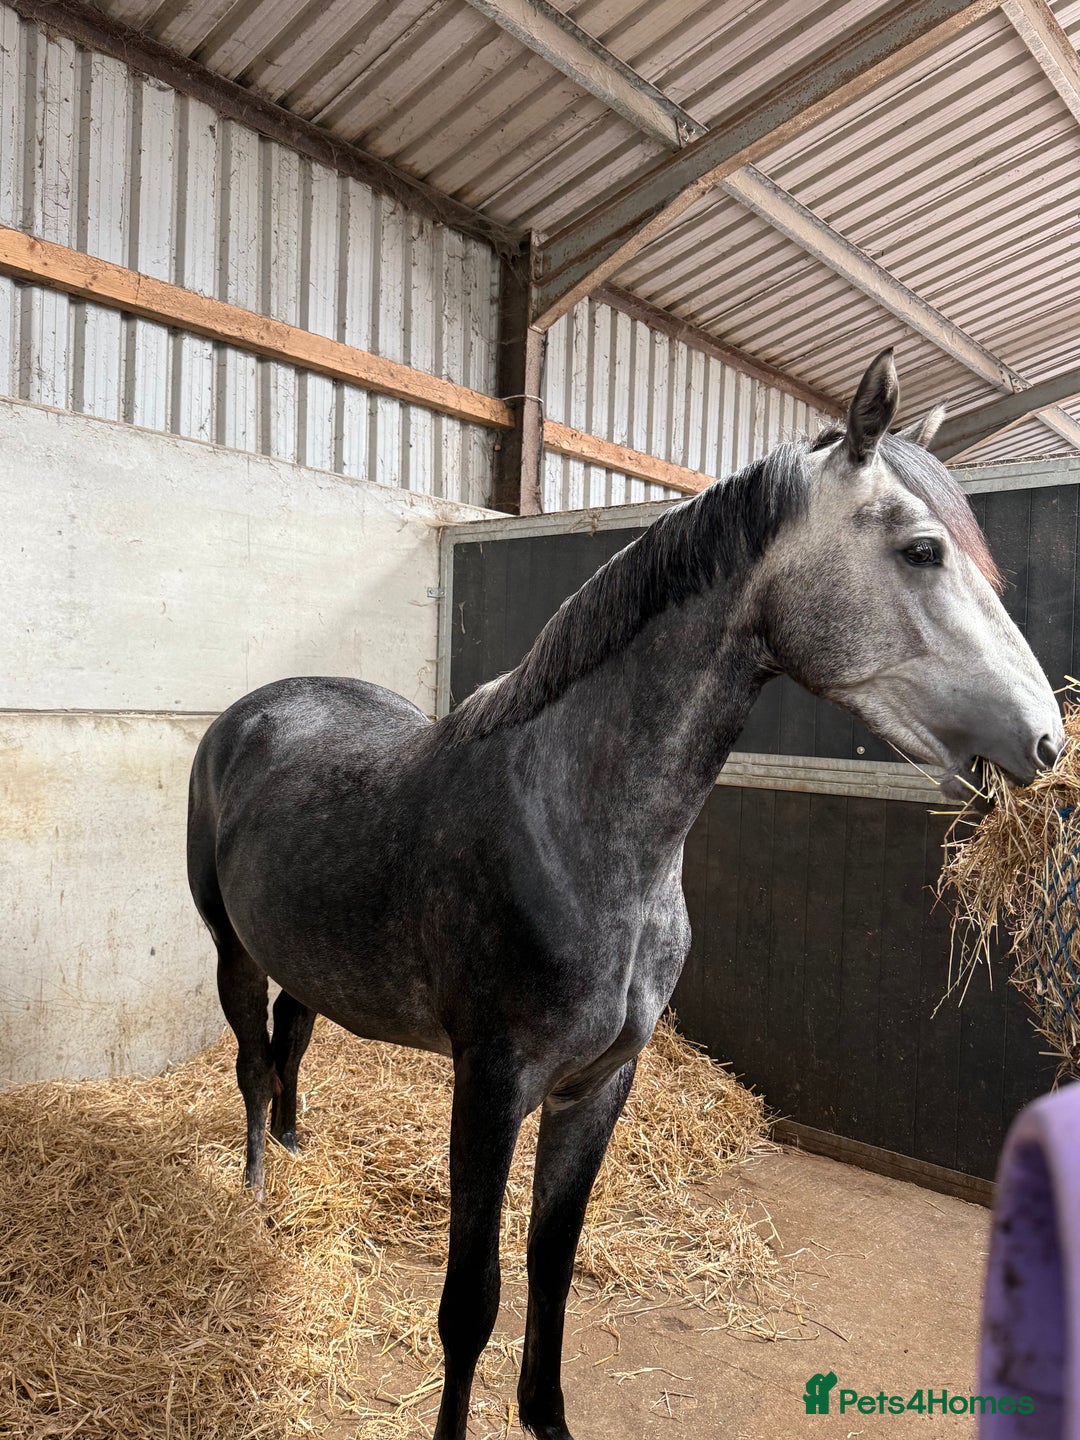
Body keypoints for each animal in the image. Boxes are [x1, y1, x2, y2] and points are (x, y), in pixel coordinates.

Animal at [187, 350, 1062, 1440]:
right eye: (923, 550)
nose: (1046, 740)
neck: (580, 833)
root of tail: (253, 713)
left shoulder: (600, 1085)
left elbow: (551, 1268)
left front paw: (547, 1416)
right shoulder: (492, 1086)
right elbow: (469, 1303)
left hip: (307, 956)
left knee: (293, 1043)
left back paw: (298, 1152)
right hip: (230, 948)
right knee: (252, 1066)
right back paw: (258, 1197)